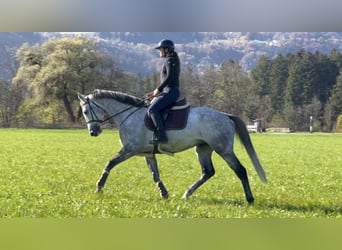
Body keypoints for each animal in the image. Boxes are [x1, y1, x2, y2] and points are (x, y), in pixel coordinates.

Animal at [78, 89, 268, 204]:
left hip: (224, 149)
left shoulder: (130, 150)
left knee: (240, 170)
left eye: (86, 111)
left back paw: (250, 199)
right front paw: (164, 194)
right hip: (203, 149)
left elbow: (109, 163)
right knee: (208, 172)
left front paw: (99, 187)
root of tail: (225, 115)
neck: (129, 115)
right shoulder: (148, 154)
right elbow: (155, 175)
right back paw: (187, 193)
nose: (93, 132)